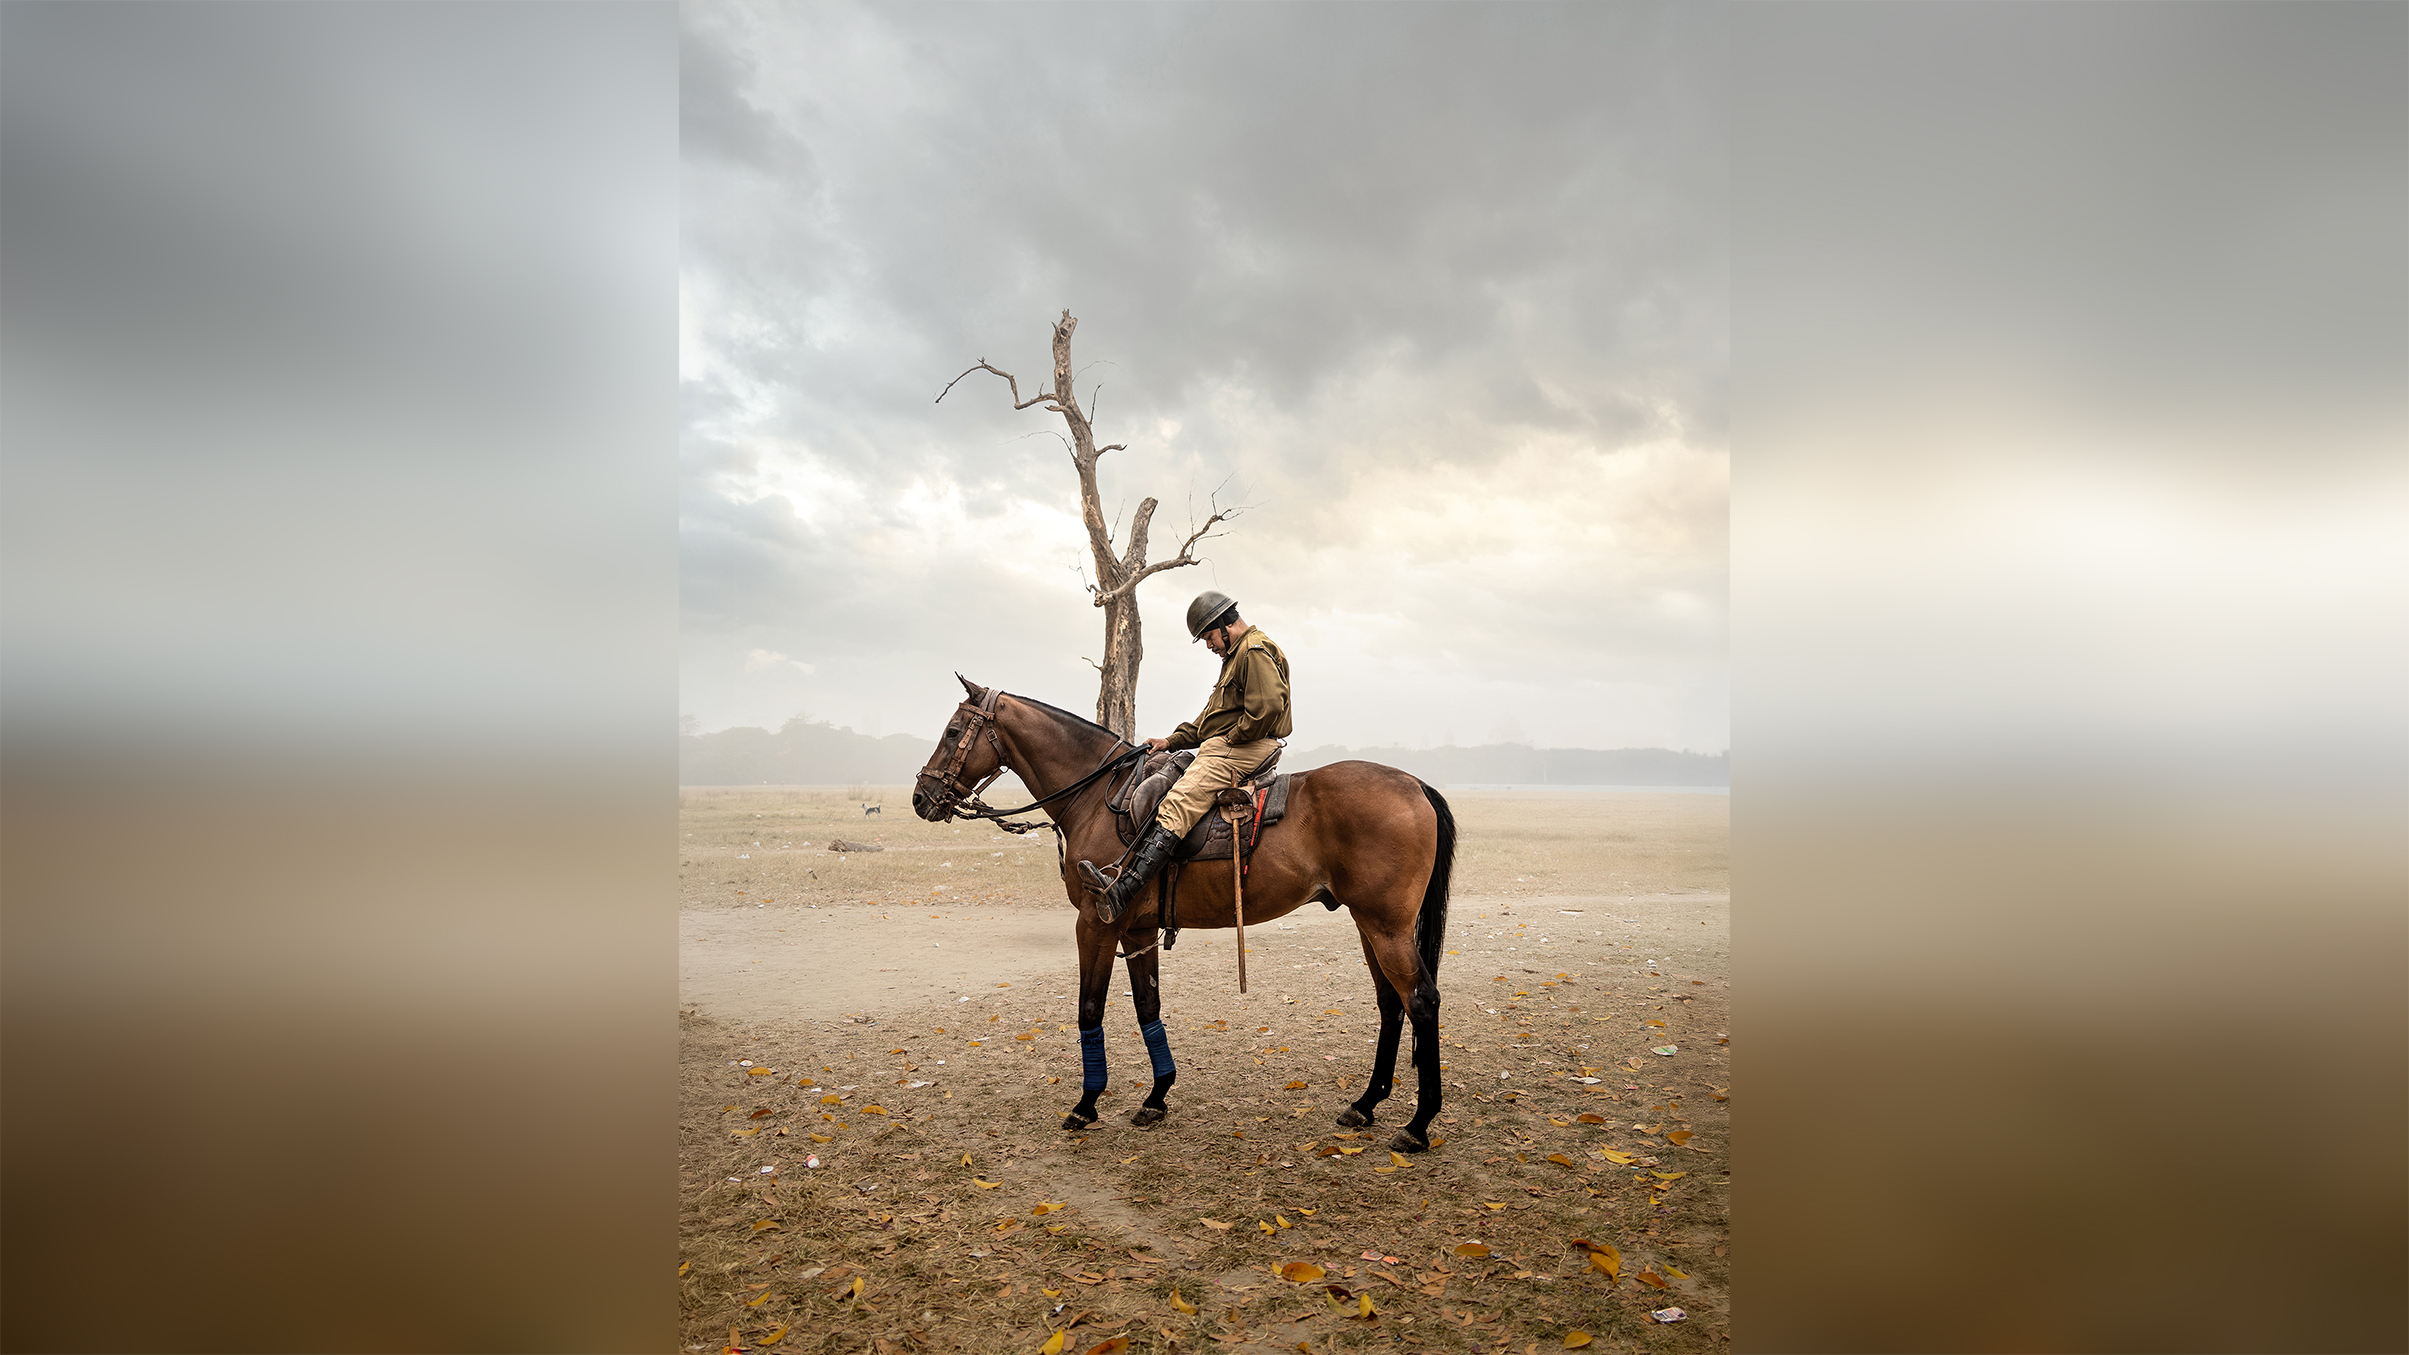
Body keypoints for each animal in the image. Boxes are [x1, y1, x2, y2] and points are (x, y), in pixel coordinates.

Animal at [910, 676, 1457, 1153]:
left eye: (953, 731)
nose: (921, 797)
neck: (1094, 798)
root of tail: (1415, 785)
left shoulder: (1096, 923)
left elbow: (1089, 1008)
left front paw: (1086, 1104)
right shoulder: (1136, 929)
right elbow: (1147, 1006)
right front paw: (1156, 1096)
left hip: (1387, 927)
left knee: (1421, 1000)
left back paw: (1418, 1124)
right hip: (1369, 924)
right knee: (1391, 1003)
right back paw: (1365, 1104)